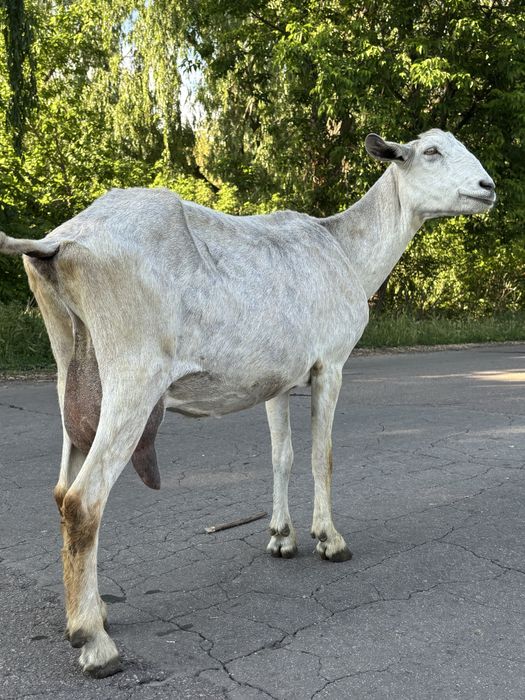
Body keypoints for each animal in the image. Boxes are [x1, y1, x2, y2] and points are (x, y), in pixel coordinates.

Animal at [0, 129, 495, 676]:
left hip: (72, 372)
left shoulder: (276, 381)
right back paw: (94, 640)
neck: (343, 249)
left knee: (61, 488)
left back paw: (91, 610)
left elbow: (283, 456)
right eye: (430, 152)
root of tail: (59, 243)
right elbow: (322, 456)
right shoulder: (330, 365)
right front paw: (330, 541)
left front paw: (282, 537)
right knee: (82, 501)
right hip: (134, 376)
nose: (488, 187)